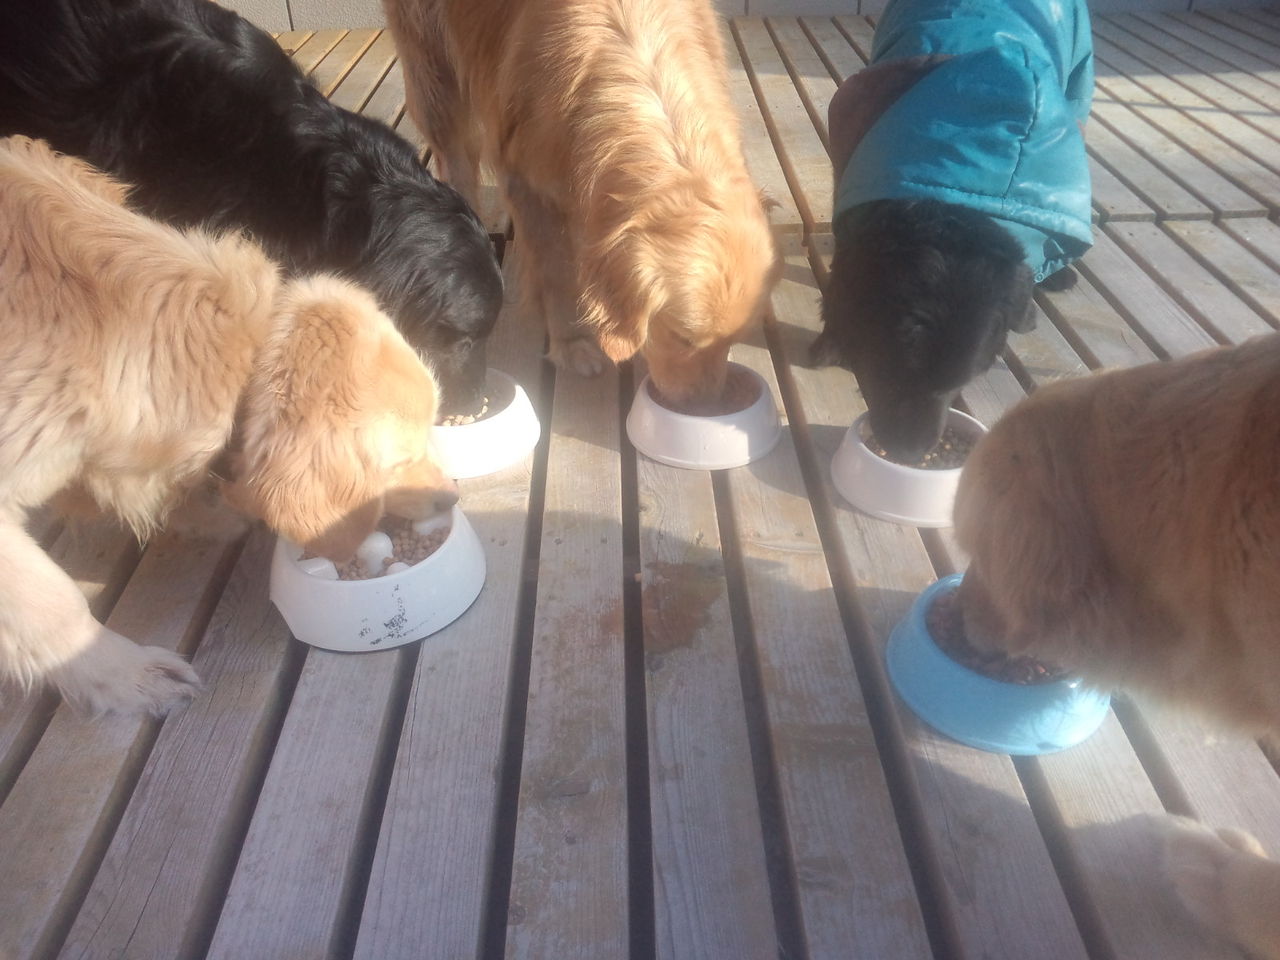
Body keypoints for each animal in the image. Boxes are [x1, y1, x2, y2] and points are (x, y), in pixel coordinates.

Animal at [381, 0, 780, 409]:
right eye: (682, 337)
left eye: (734, 339)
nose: (705, 407)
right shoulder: (528, 180)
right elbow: (556, 271)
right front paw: (572, 343)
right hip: (432, 67)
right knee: (455, 153)